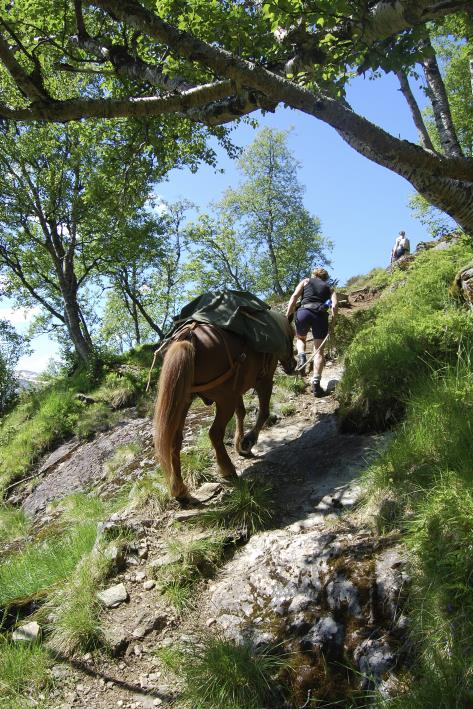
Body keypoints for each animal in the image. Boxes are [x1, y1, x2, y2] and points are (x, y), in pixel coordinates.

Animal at [154, 320, 296, 498]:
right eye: (292, 336)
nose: (293, 365)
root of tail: (188, 336)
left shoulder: (236, 390)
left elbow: (241, 412)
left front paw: (239, 445)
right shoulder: (264, 380)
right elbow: (263, 412)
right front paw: (247, 441)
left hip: (184, 402)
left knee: (175, 440)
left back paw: (178, 489)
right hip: (224, 400)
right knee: (214, 433)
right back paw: (227, 469)